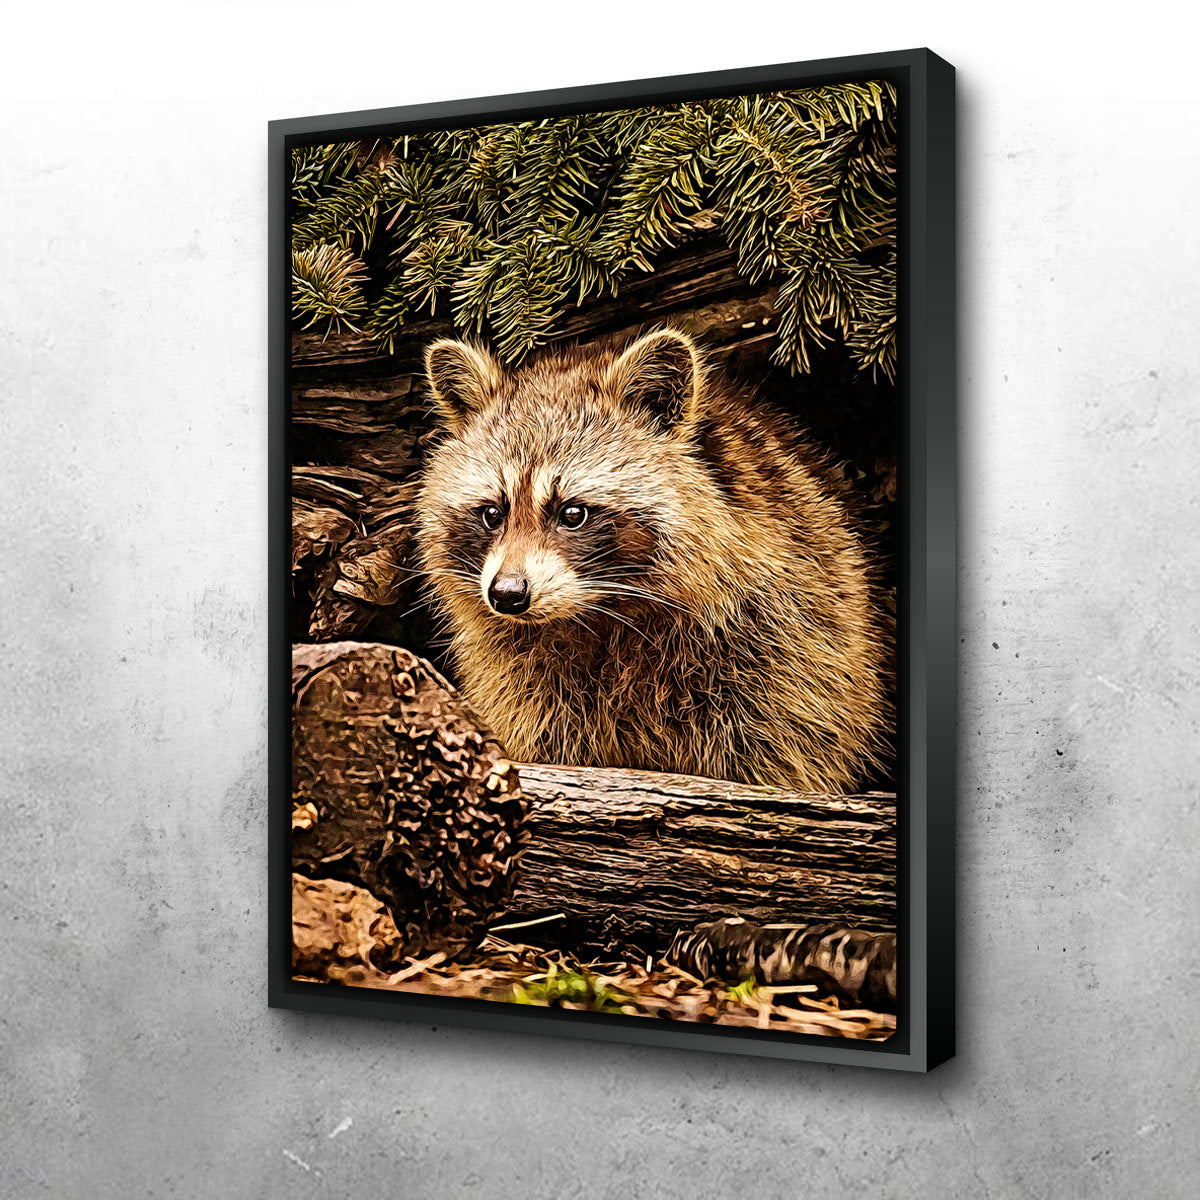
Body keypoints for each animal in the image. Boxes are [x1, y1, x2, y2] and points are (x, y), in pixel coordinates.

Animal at [415, 328, 892, 792]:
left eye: (573, 513)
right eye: (493, 513)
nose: (508, 593)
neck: (598, 615)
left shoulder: (787, 646)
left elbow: (782, 747)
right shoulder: (522, 681)